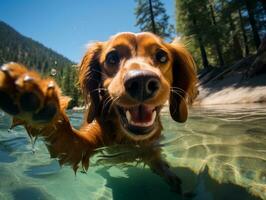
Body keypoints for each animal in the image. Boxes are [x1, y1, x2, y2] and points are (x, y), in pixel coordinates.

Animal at [0, 32, 195, 195]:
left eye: (162, 56)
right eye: (112, 57)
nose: (141, 82)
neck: (128, 139)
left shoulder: (152, 148)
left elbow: (162, 166)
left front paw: (177, 182)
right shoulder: (80, 145)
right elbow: (64, 130)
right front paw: (37, 99)